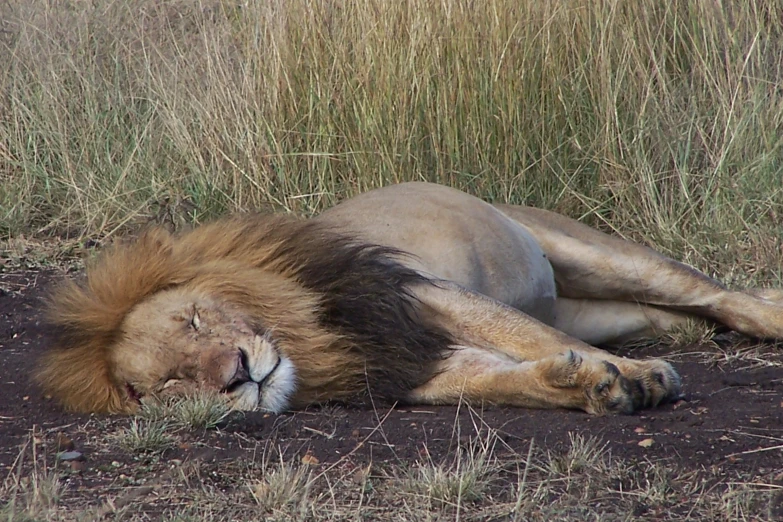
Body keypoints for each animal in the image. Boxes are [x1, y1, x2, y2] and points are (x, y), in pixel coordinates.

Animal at [38, 182, 783, 414]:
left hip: (596, 254)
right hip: (609, 308)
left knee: (717, 293)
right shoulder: (408, 363)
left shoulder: (424, 296)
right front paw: (583, 386)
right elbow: (498, 381)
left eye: (194, 319)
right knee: (675, 317)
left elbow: (532, 338)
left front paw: (635, 379)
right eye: (166, 384)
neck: (310, 342)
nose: (237, 375)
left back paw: (764, 318)